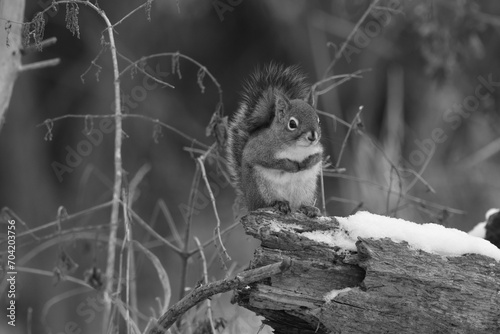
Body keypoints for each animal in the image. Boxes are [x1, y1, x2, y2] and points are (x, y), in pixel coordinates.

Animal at [228, 64, 324, 218]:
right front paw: (291, 166)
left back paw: (309, 208)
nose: (313, 136)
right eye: (292, 124)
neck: (297, 148)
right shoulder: (260, 150)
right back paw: (280, 204)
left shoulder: (318, 148)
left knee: (301, 204)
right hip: (262, 189)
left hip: (307, 191)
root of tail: (250, 205)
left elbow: (317, 157)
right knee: (267, 203)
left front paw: (306, 164)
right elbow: (272, 161)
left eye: (318, 120)